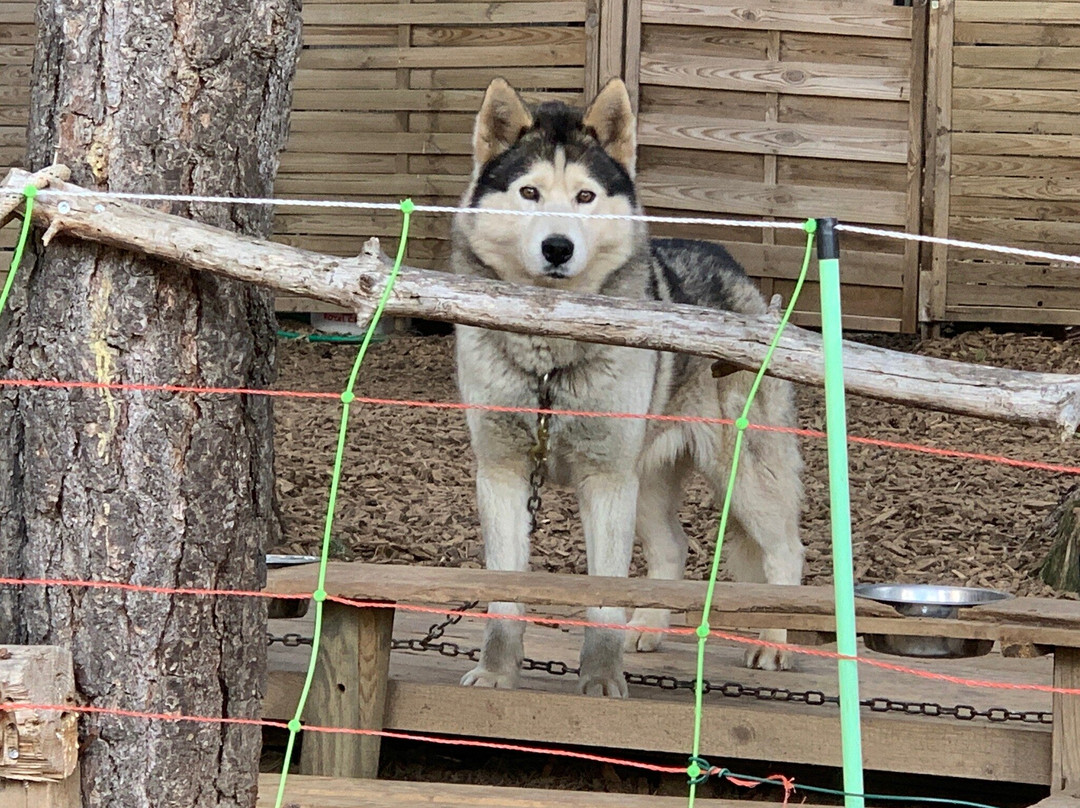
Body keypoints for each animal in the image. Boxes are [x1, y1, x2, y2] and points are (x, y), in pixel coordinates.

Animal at [447, 75, 803, 695]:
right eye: (529, 193)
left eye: (586, 197)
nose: (558, 247)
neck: (549, 357)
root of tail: (738, 271)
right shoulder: (503, 472)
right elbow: (505, 592)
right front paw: (496, 672)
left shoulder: (606, 480)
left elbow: (604, 594)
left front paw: (601, 682)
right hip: (649, 477)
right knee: (674, 547)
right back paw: (648, 628)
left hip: (741, 476)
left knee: (786, 551)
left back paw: (773, 643)